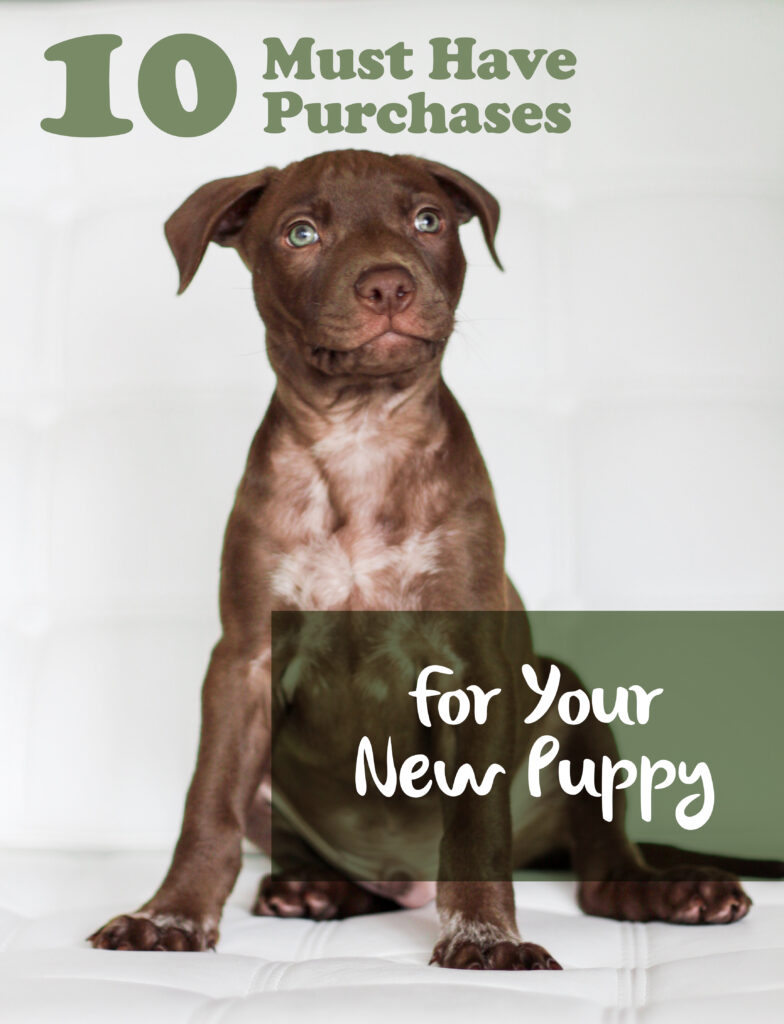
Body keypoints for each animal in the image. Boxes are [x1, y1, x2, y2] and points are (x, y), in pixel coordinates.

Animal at [89, 151, 757, 966]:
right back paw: (314, 888)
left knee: (600, 865)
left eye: (427, 220)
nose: (388, 285)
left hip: (571, 704)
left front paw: (484, 934)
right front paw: (173, 916)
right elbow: (207, 803)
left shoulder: (473, 665)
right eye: (301, 233)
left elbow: (475, 820)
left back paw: (669, 891)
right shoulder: (242, 662)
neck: (362, 434)